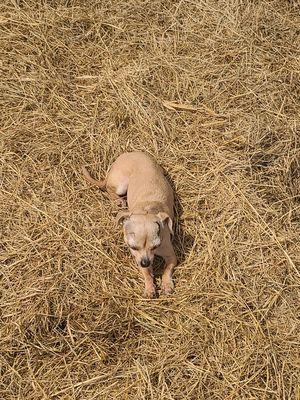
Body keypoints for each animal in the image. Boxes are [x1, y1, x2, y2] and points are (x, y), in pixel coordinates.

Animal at [82, 152, 177, 298]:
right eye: (133, 247)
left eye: (156, 246)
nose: (145, 262)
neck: (147, 209)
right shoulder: (138, 258)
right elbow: (147, 274)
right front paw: (149, 288)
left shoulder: (171, 256)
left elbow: (167, 269)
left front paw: (166, 284)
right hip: (121, 185)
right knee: (109, 188)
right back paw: (118, 201)